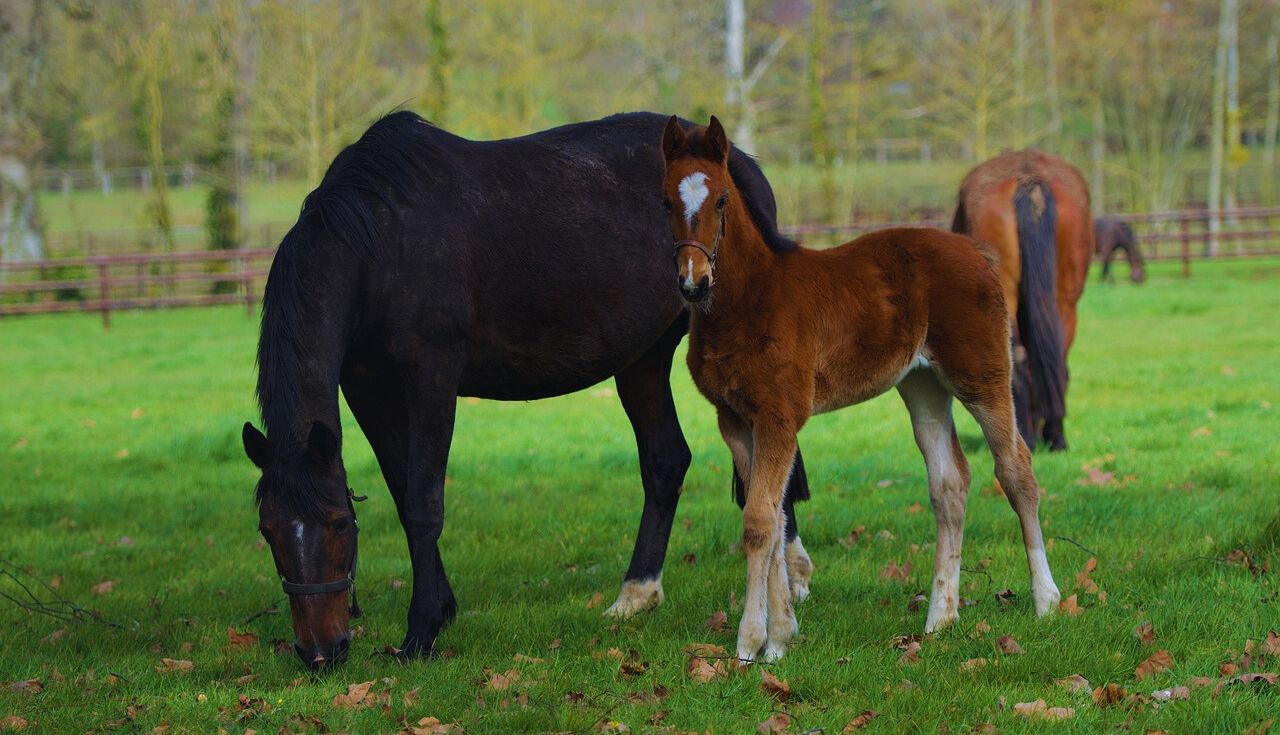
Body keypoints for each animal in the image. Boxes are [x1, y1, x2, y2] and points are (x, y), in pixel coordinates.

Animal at [239, 112, 808, 670]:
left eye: (339, 525)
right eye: (268, 531)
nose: (321, 653)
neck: (379, 242)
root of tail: (744, 168)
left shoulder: (431, 379)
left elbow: (423, 502)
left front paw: (421, 631)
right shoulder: (367, 391)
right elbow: (402, 494)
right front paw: (442, 606)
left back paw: (793, 579)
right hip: (641, 361)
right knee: (668, 461)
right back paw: (636, 594)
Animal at [660, 117, 1059, 665]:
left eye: (720, 199)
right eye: (665, 202)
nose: (692, 283)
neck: (747, 301)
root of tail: (974, 250)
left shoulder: (780, 415)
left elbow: (761, 522)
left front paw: (750, 643)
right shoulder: (735, 420)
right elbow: (773, 518)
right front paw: (781, 637)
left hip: (982, 376)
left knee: (1016, 469)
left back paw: (1046, 600)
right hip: (922, 385)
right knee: (949, 485)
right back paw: (940, 618)